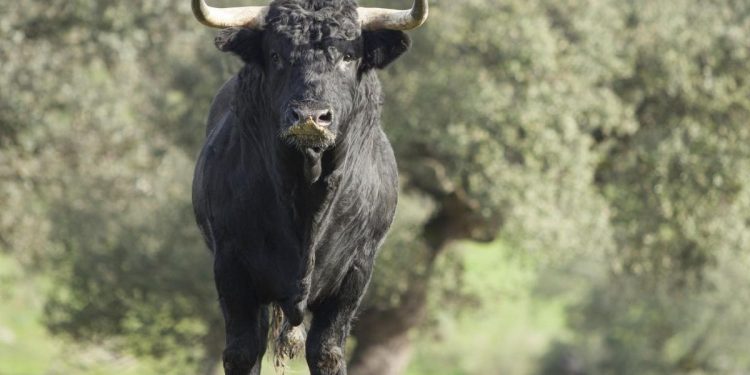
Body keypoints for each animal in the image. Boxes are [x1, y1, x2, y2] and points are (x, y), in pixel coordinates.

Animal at [191, 1, 420, 374]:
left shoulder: (356, 271)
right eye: (275, 54)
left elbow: (327, 350)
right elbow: (241, 351)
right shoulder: (231, 265)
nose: (310, 118)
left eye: (348, 55)